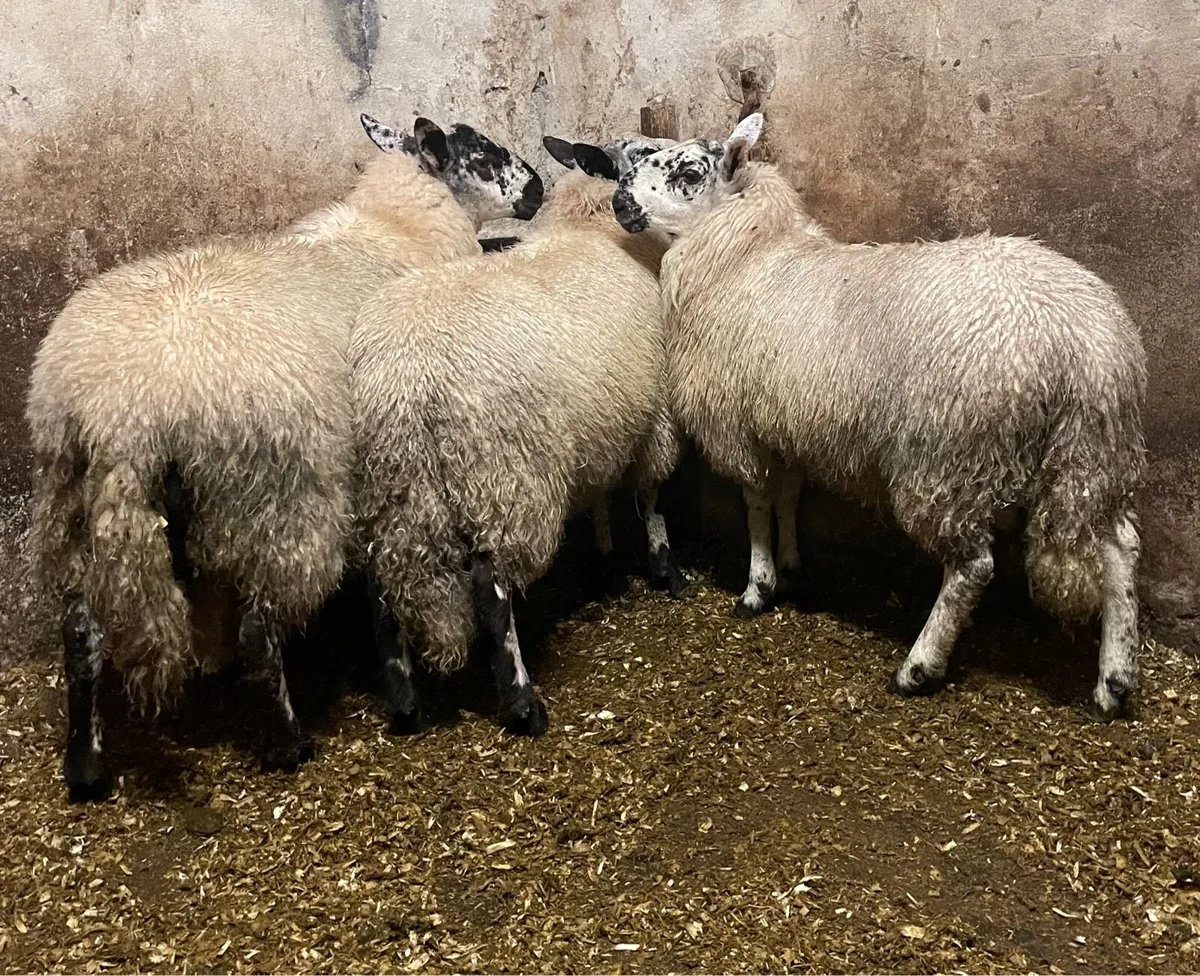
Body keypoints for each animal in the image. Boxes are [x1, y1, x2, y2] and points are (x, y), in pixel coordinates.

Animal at [26, 114, 543, 801]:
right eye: (481, 156)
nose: (537, 189)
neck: (397, 224)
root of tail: (119, 409)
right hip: (274, 496)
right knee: (259, 630)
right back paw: (288, 741)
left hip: (73, 499)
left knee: (81, 635)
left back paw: (85, 767)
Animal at [351, 133, 685, 736]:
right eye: (648, 154)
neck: (588, 228)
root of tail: (407, 376)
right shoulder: (654, 417)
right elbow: (651, 498)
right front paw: (666, 570)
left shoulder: (600, 418)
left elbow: (598, 494)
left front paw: (603, 556)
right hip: (504, 478)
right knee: (491, 590)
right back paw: (522, 702)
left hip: (390, 491)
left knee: (381, 587)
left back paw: (406, 703)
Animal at [612, 114, 1147, 720]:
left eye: (688, 173)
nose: (618, 199)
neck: (746, 256)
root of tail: (1079, 343)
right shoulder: (788, 423)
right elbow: (789, 495)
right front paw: (792, 569)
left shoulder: (739, 425)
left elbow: (756, 503)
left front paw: (757, 587)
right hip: (1094, 454)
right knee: (1121, 547)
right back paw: (1114, 681)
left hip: (948, 459)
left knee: (973, 568)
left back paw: (918, 666)